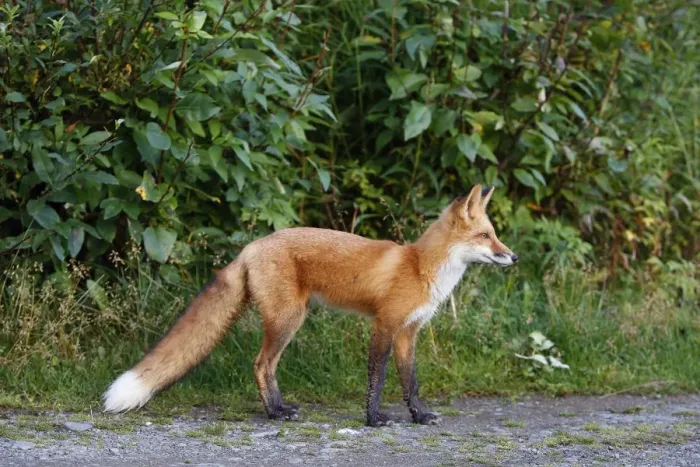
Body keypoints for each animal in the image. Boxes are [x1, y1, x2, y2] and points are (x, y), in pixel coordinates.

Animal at [102, 184, 518, 426]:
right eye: (486, 236)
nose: (513, 257)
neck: (419, 267)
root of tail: (251, 247)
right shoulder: (384, 325)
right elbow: (378, 379)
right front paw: (373, 419)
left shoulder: (407, 333)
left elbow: (410, 382)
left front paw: (418, 415)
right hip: (288, 320)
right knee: (260, 364)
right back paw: (275, 414)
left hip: (291, 319)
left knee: (266, 366)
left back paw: (279, 408)